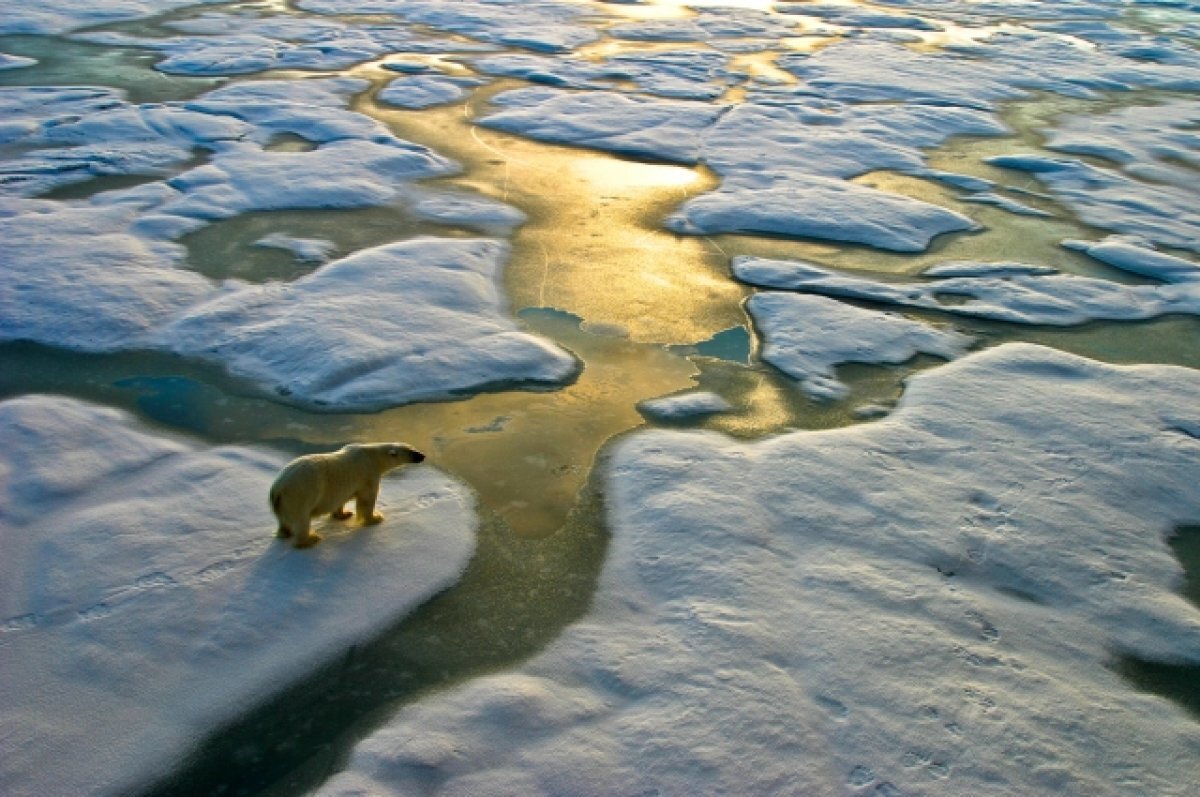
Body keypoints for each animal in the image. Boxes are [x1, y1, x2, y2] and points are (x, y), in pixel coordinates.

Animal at [272, 441, 427, 547]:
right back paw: (311, 539)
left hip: (283, 503)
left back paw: (285, 532)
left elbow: (340, 500)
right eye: (411, 451)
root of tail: (277, 488)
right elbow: (367, 499)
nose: (422, 455)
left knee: (284, 520)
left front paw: (344, 514)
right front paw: (375, 518)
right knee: (302, 519)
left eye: (413, 447)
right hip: (300, 494)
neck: (372, 456)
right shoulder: (368, 474)